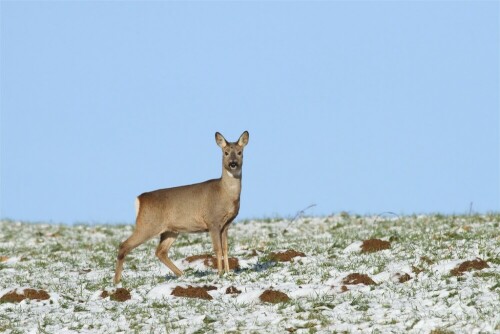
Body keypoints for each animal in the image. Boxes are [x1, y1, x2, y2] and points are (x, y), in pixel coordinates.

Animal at [112, 130, 248, 284]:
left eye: (240, 152)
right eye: (225, 152)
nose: (233, 163)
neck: (225, 193)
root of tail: (139, 199)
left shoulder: (226, 224)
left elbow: (225, 248)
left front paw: (228, 273)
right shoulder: (212, 221)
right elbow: (217, 249)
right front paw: (219, 273)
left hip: (170, 230)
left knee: (160, 251)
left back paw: (182, 274)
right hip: (147, 225)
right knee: (124, 245)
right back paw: (116, 281)